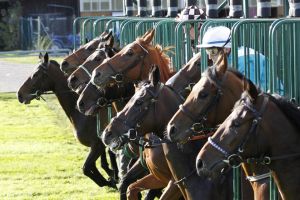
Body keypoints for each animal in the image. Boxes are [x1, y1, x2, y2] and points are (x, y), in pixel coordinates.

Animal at [17, 52, 118, 189]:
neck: (82, 113)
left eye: (36, 74)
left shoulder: (97, 145)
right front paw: (110, 178)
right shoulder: (99, 146)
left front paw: (109, 181)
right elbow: (97, 166)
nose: (19, 94)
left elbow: (87, 168)